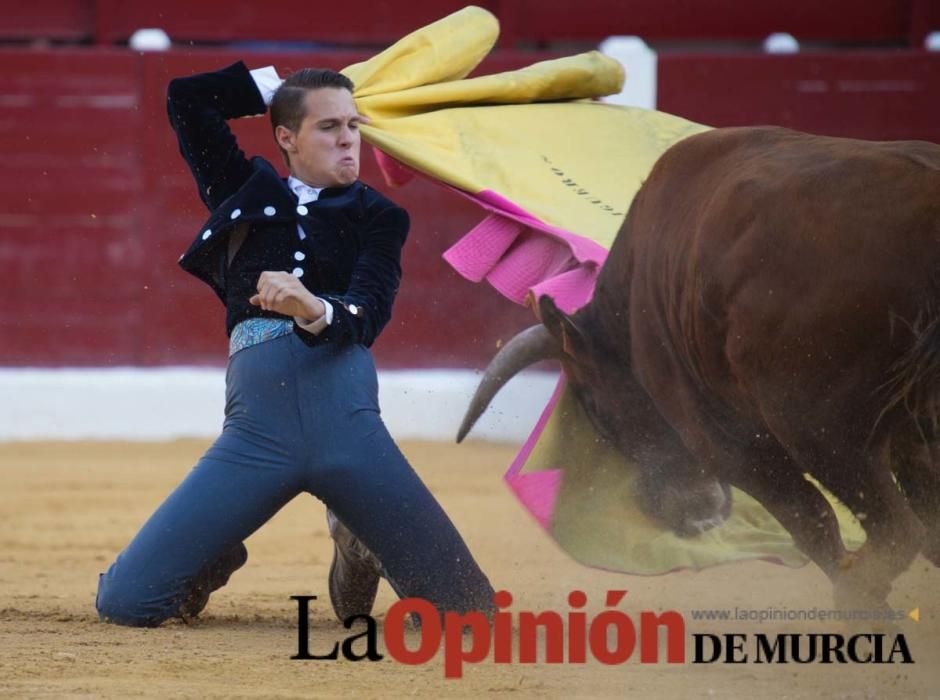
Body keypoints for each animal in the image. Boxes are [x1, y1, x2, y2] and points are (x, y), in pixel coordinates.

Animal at [460, 129, 940, 608]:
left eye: (595, 406)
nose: (693, 516)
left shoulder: (728, 445)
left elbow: (814, 524)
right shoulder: (909, 436)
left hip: (822, 432)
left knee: (896, 531)